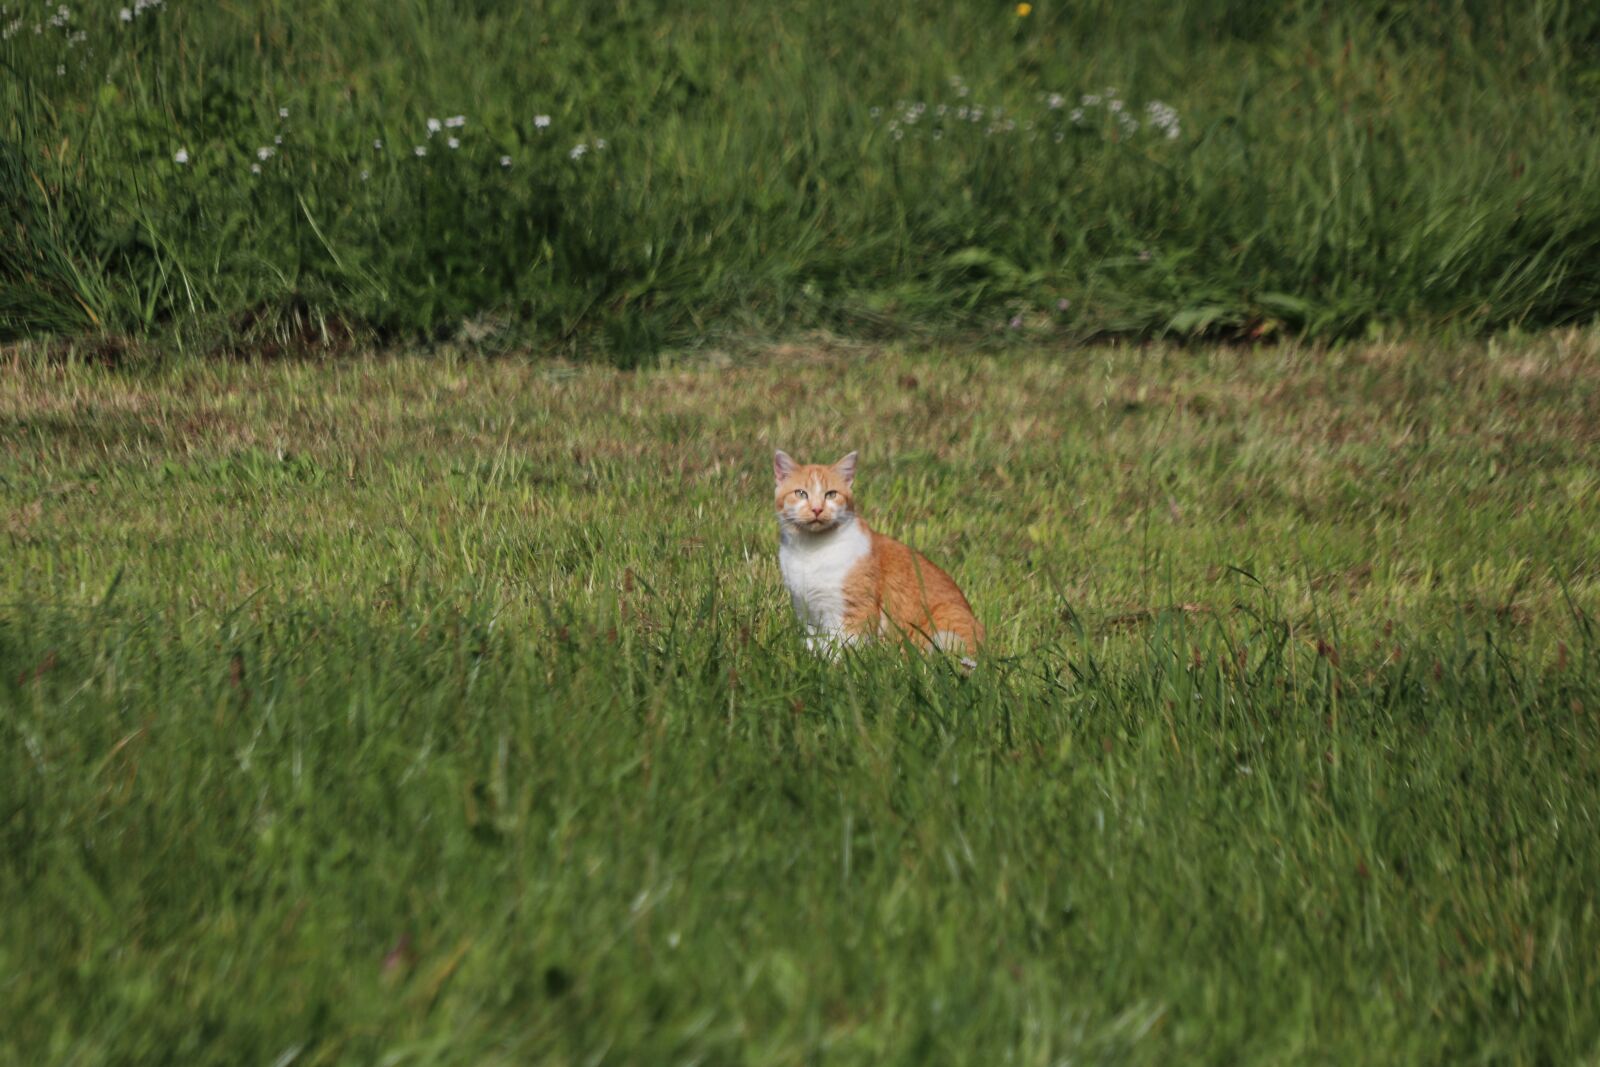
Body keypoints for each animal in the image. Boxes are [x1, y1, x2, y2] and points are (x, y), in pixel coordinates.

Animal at [771, 447, 979, 662]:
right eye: (801, 493)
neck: (811, 549)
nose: (817, 509)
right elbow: (811, 639)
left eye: (831, 494)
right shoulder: (805, 610)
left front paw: (827, 658)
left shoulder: (856, 612)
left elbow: (838, 647)